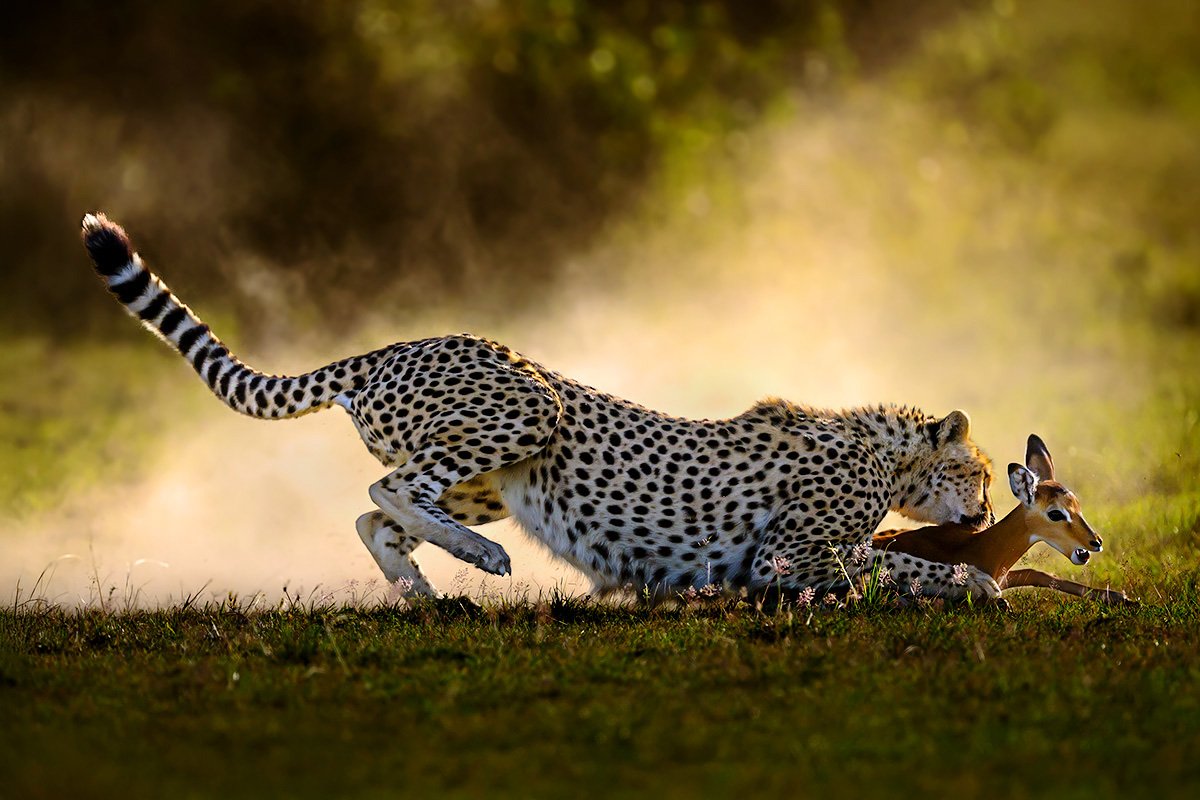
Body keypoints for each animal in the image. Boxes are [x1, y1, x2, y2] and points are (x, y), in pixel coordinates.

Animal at [81, 213, 1001, 602]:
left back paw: (423, 589)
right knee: (388, 491)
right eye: (983, 472)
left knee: (375, 516)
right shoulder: (785, 557)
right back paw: (477, 564)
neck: (884, 451)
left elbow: (895, 562)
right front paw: (974, 581)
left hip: (494, 479)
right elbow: (889, 564)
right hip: (532, 404)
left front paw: (973, 580)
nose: (990, 507)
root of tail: (395, 345)